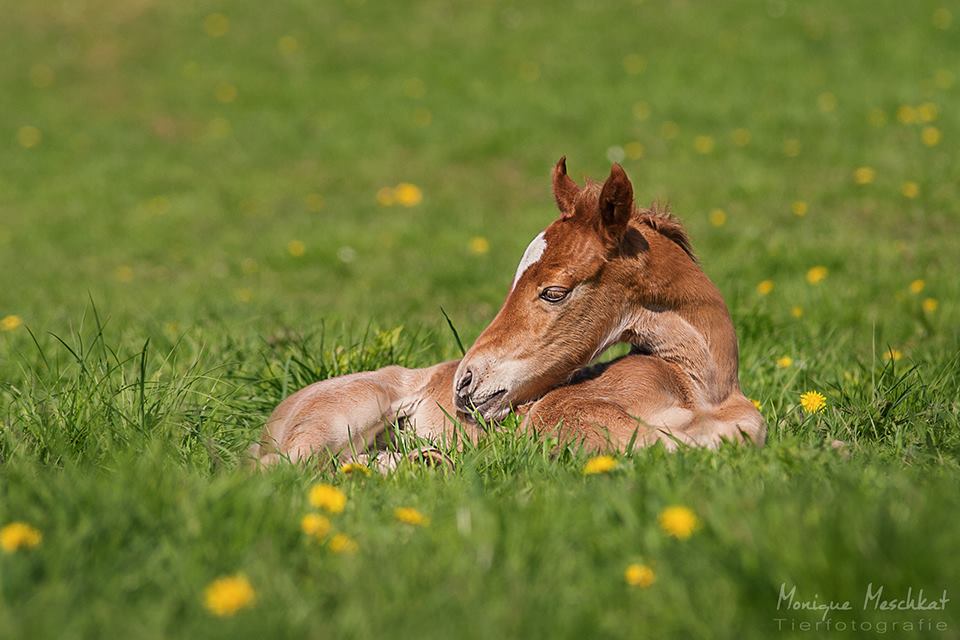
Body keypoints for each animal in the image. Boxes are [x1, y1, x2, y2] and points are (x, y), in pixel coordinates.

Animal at [255, 158, 764, 462]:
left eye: (554, 292)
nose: (464, 383)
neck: (700, 389)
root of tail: (274, 419)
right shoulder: (564, 420)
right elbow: (659, 441)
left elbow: (738, 433)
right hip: (338, 420)